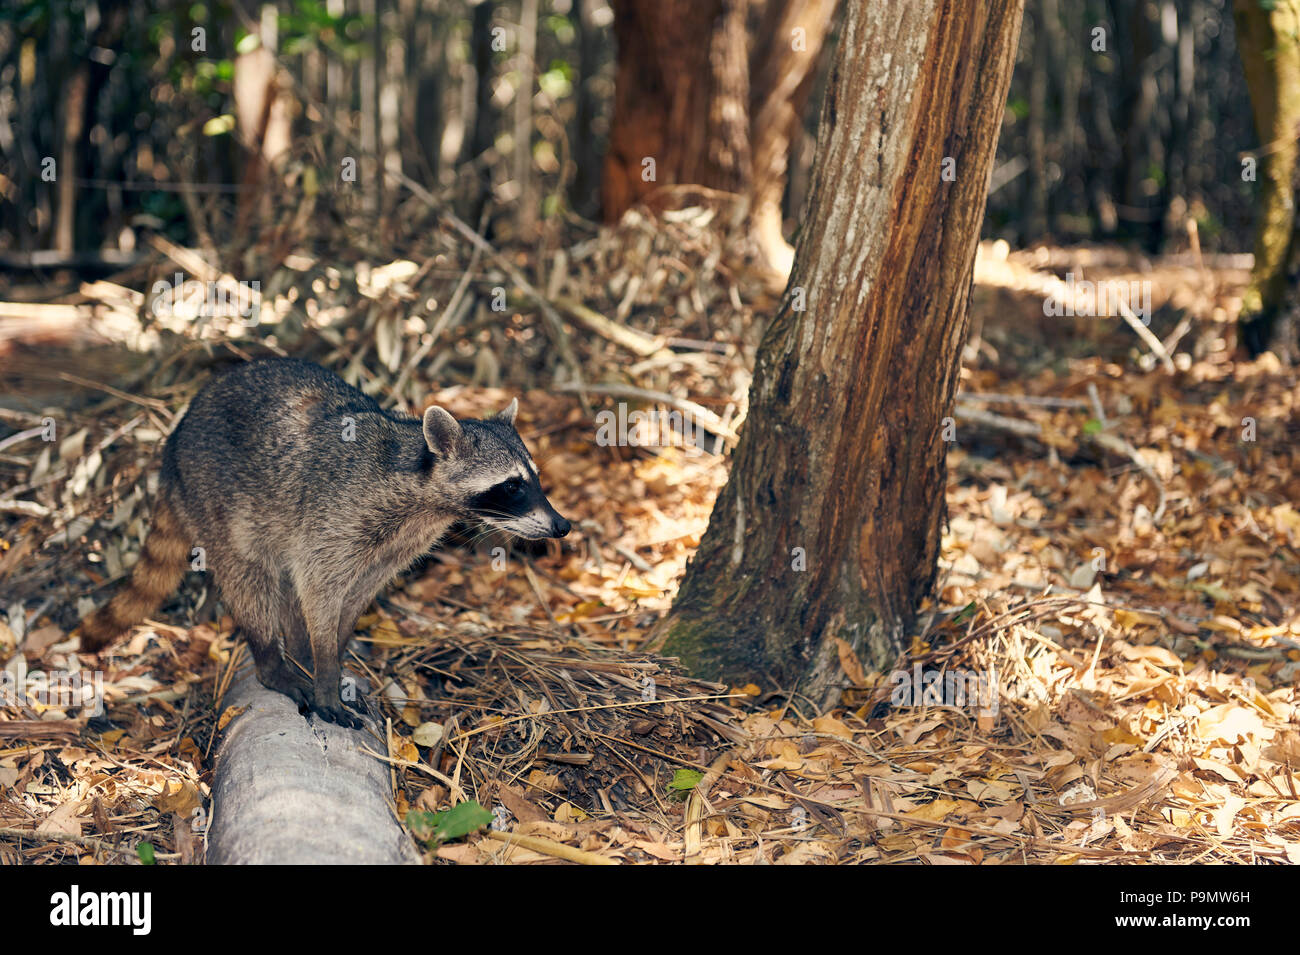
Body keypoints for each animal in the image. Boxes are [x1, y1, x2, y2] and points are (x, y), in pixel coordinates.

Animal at [81, 356, 569, 722]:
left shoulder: (391, 546)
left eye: (535, 479)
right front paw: (326, 670)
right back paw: (273, 661)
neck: (425, 497)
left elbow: (351, 599)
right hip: (216, 500)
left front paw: (332, 654)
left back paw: (296, 652)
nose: (562, 525)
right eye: (511, 486)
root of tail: (173, 445)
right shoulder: (336, 520)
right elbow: (318, 592)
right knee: (249, 580)